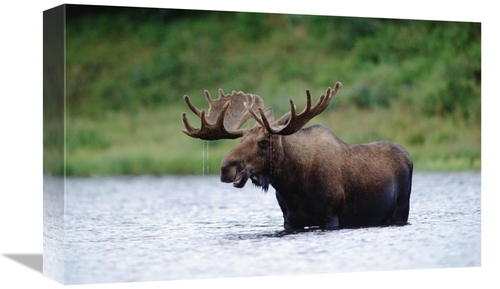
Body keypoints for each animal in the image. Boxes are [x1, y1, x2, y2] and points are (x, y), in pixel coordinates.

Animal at [182, 82, 412, 231]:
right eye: (241, 140)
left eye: (264, 142)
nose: (226, 168)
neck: (293, 185)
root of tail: (408, 155)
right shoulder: (290, 219)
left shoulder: (331, 216)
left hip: (401, 209)